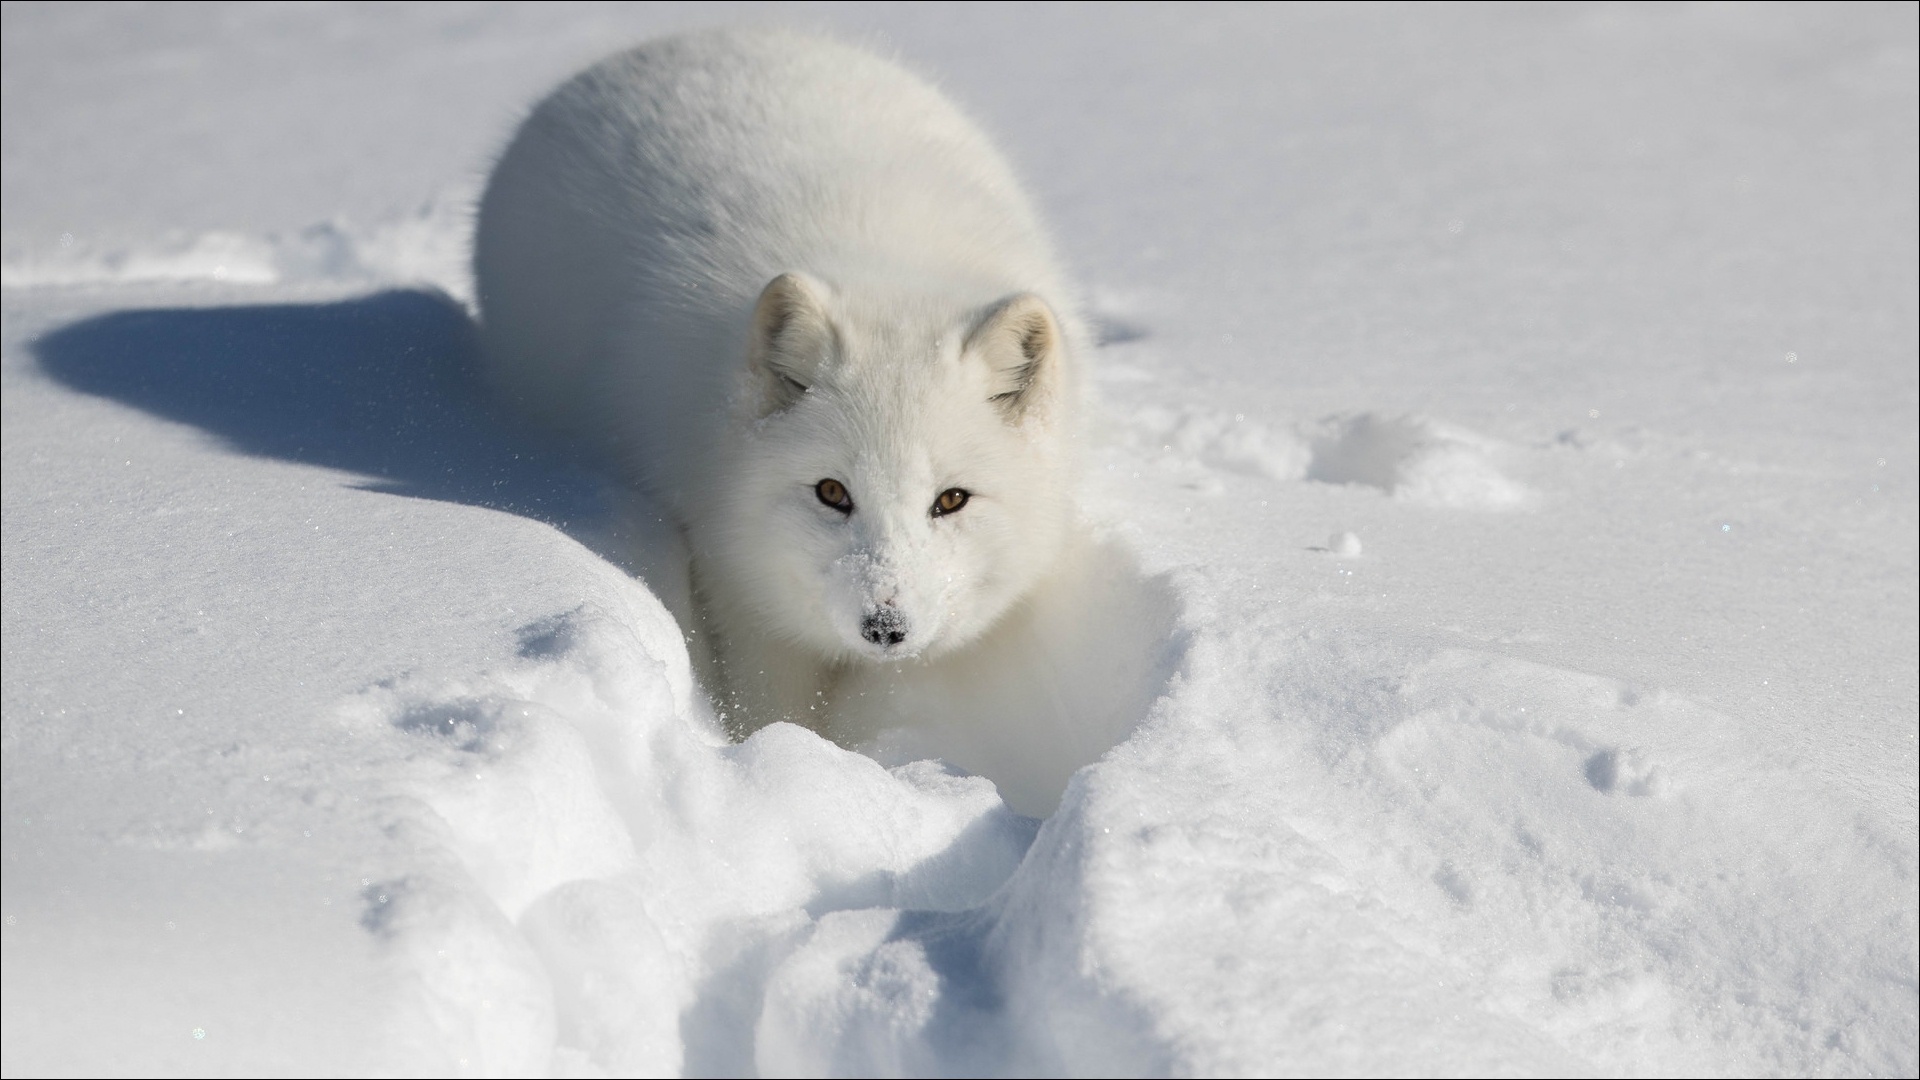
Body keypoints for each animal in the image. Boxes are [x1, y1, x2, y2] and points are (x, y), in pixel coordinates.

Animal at [474, 31, 1090, 737]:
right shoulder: (735, 577)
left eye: (952, 500)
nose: (885, 627)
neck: (883, 265)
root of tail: (668, 41)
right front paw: (776, 751)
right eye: (832, 492)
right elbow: (770, 703)